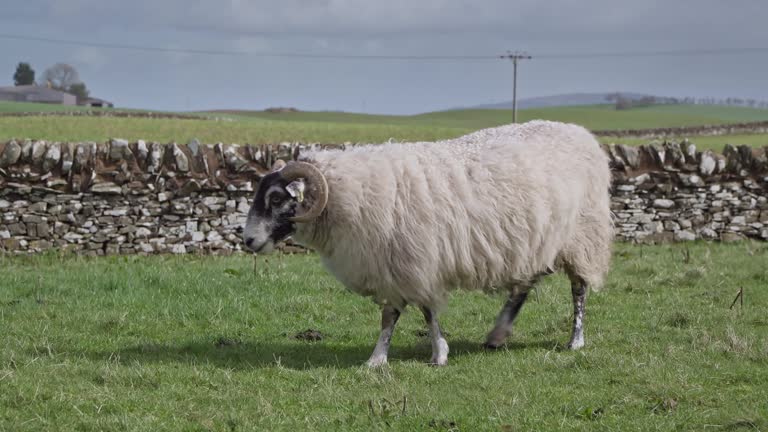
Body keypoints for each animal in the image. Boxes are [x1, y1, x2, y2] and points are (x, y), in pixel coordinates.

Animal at [243, 120, 616, 366]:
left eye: (276, 198)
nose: (248, 240)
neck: (350, 192)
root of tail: (582, 133)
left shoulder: (416, 261)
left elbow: (424, 312)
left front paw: (438, 353)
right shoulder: (393, 266)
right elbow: (390, 316)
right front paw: (377, 360)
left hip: (582, 236)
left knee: (579, 289)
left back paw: (575, 340)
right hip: (538, 241)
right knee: (526, 283)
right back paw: (497, 334)